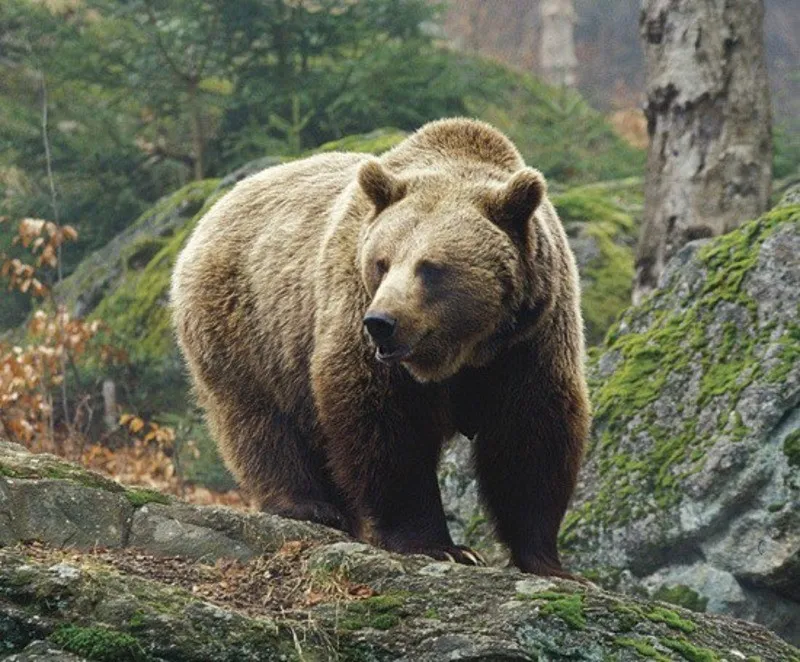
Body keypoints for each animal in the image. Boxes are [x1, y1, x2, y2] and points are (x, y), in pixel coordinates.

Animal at [171, 118, 590, 578]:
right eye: (382, 262)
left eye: (430, 267)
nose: (381, 323)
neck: (465, 348)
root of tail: (213, 211)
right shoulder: (355, 309)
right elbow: (385, 425)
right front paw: (439, 545)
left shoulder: (529, 337)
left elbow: (530, 432)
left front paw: (547, 560)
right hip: (251, 329)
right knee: (262, 421)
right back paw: (309, 505)